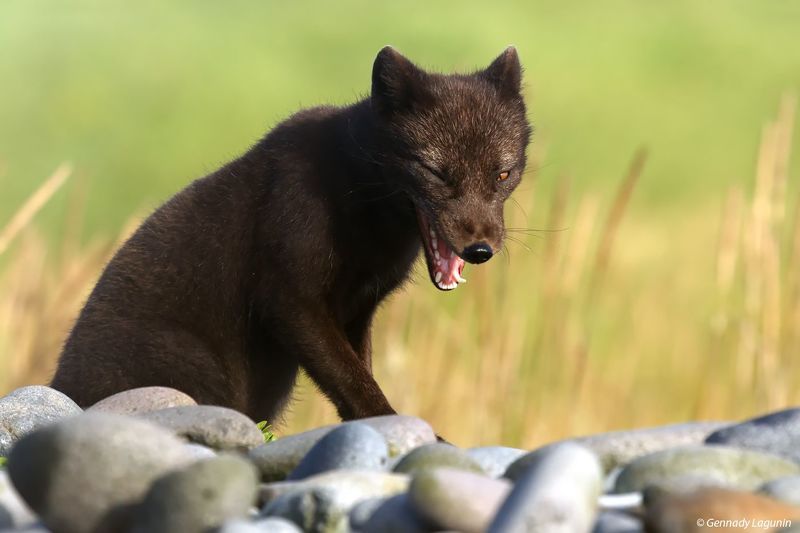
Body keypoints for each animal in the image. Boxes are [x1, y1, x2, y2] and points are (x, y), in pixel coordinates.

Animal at [51, 46, 532, 427]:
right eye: (436, 172)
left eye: (503, 173)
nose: (481, 249)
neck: (355, 192)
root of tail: (57, 383)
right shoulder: (290, 300)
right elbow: (354, 382)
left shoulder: (357, 312)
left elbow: (360, 374)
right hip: (194, 369)